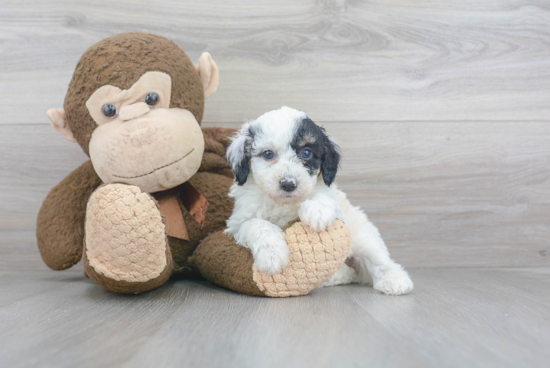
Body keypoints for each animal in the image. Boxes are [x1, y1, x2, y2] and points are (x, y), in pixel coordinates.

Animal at [224, 107, 414, 296]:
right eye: (268, 154)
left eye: (306, 153)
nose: (288, 184)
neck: (284, 203)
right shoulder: (238, 222)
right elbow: (255, 224)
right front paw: (272, 255)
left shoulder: (337, 208)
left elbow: (323, 198)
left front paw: (317, 212)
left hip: (364, 239)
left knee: (379, 260)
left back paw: (394, 280)